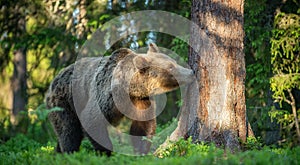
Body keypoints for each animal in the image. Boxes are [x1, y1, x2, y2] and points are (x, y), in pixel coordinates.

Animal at [45, 43, 193, 155]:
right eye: (171, 67)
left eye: (173, 62)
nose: (191, 72)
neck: (128, 89)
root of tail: (52, 83)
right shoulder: (105, 98)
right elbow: (91, 120)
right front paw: (107, 153)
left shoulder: (140, 100)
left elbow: (143, 126)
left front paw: (141, 152)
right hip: (64, 102)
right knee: (69, 131)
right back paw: (68, 153)